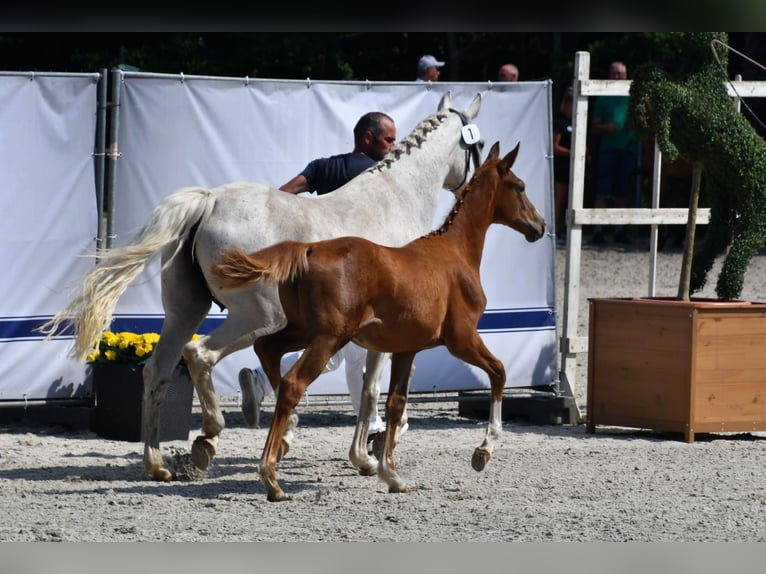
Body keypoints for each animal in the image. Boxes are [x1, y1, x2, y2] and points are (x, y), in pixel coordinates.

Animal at [39, 92, 484, 484]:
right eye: (476, 146)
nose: (472, 187)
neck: (393, 199)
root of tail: (209, 201)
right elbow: (371, 390)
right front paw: (367, 458)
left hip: (186, 312)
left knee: (158, 370)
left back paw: (159, 464)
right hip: (259, 316)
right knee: (200, 356)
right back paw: (209, 438)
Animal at [210, 142, 544, 502]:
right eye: (520, 186)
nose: (539, 225)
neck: (455, 253)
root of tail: (308, 248)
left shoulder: (406, 349)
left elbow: (395, 404)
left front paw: (391, 474)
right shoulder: (463, 339)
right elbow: (499, 373)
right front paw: (483, 451)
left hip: (303, 331)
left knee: (267, 349)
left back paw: (281, 431)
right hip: (328, 338)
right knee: (292, 384)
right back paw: (271, 476)